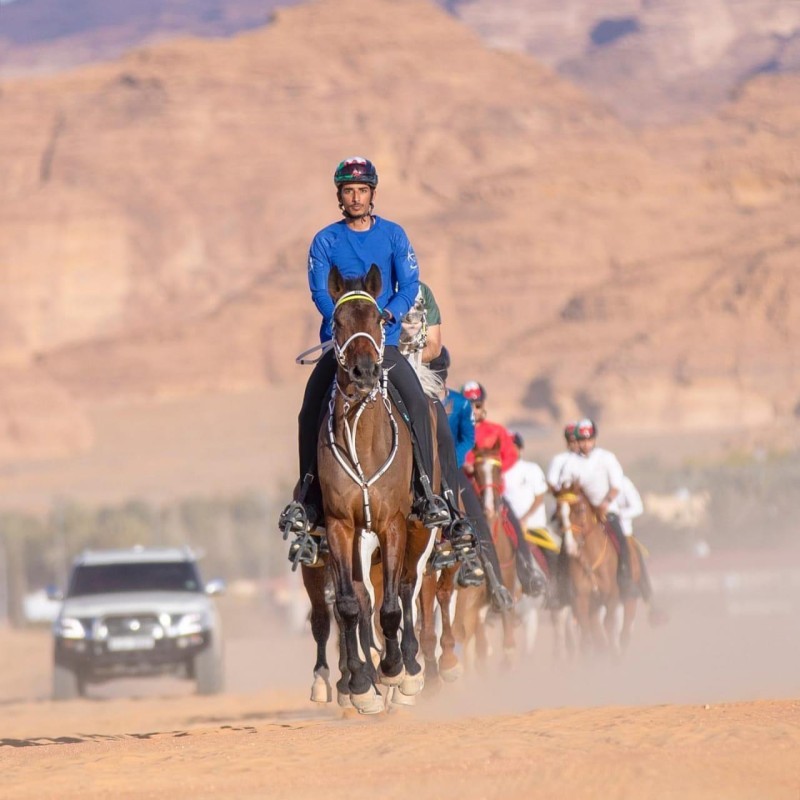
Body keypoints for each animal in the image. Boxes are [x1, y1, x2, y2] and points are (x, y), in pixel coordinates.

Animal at [310, 268, 438, 712]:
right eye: (336, 322)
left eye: (381, 320)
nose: (365, 373)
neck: (364, 440)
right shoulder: (339, 527)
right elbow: (352, 604)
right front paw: (362, 685)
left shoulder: (393, 524)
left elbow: (392, 607)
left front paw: (394, 671)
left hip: (419, 530)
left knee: (407, 589)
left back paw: (410, 670)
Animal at [556, 484, 636, 652]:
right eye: (558, 512)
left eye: (580, 509)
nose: (570, 546)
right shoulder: (581, 598)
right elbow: (588, 633)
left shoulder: (612, 596)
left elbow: (609, 626)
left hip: (629, 598)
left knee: (624, 631)